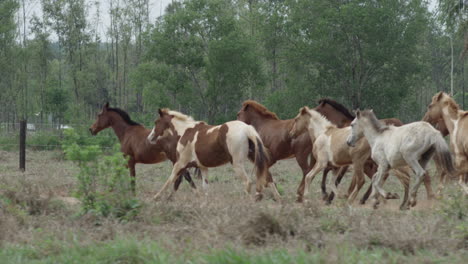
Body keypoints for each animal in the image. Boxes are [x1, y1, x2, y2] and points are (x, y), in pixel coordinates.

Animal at [148, 108, 280, 201]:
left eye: (156, 122)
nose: (150, 137)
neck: (185, 131)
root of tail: (247, 129)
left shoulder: (180, 163)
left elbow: (170, 179)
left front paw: (156, 197)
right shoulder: (203, 167)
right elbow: (205, 187)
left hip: (237, 164)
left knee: (248, 182)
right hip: (254, 159)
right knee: (268, 177)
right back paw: (277, 199)